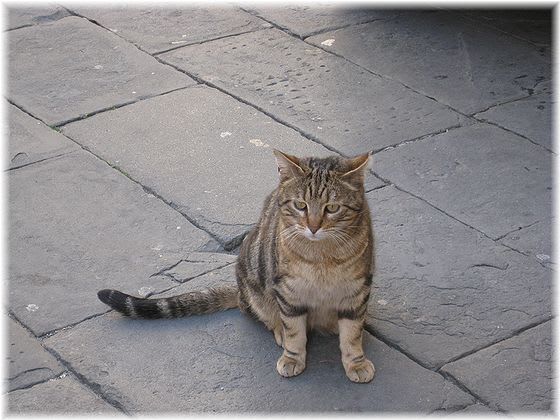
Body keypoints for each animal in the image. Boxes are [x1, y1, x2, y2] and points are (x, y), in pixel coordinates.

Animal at [98, 150, 375, 383]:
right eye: (300, 205)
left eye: (332, 208)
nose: (314, 227)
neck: (321, 258)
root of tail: (240, 291)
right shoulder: (288, 292)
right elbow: (295, 331)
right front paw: (292, 356)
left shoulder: (357, 291)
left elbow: (351, 334)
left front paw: (356, 361)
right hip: (256, 287)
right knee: (262, 314)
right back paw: (279, 329)